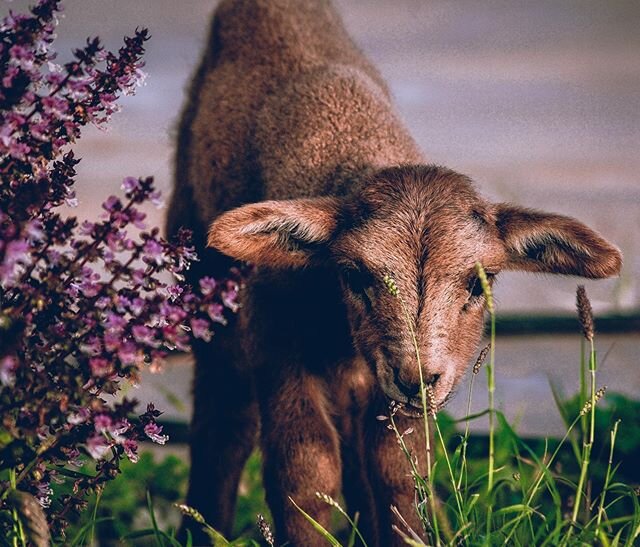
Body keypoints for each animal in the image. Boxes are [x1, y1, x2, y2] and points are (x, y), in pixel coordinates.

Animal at [168, 1, 624, 544]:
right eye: (356, 276)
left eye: (479, 283)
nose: (418, 378)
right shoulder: (278, 345)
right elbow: (305, 473)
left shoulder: (388, 394)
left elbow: (400, 476)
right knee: (224, 415)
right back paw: (201, 525)